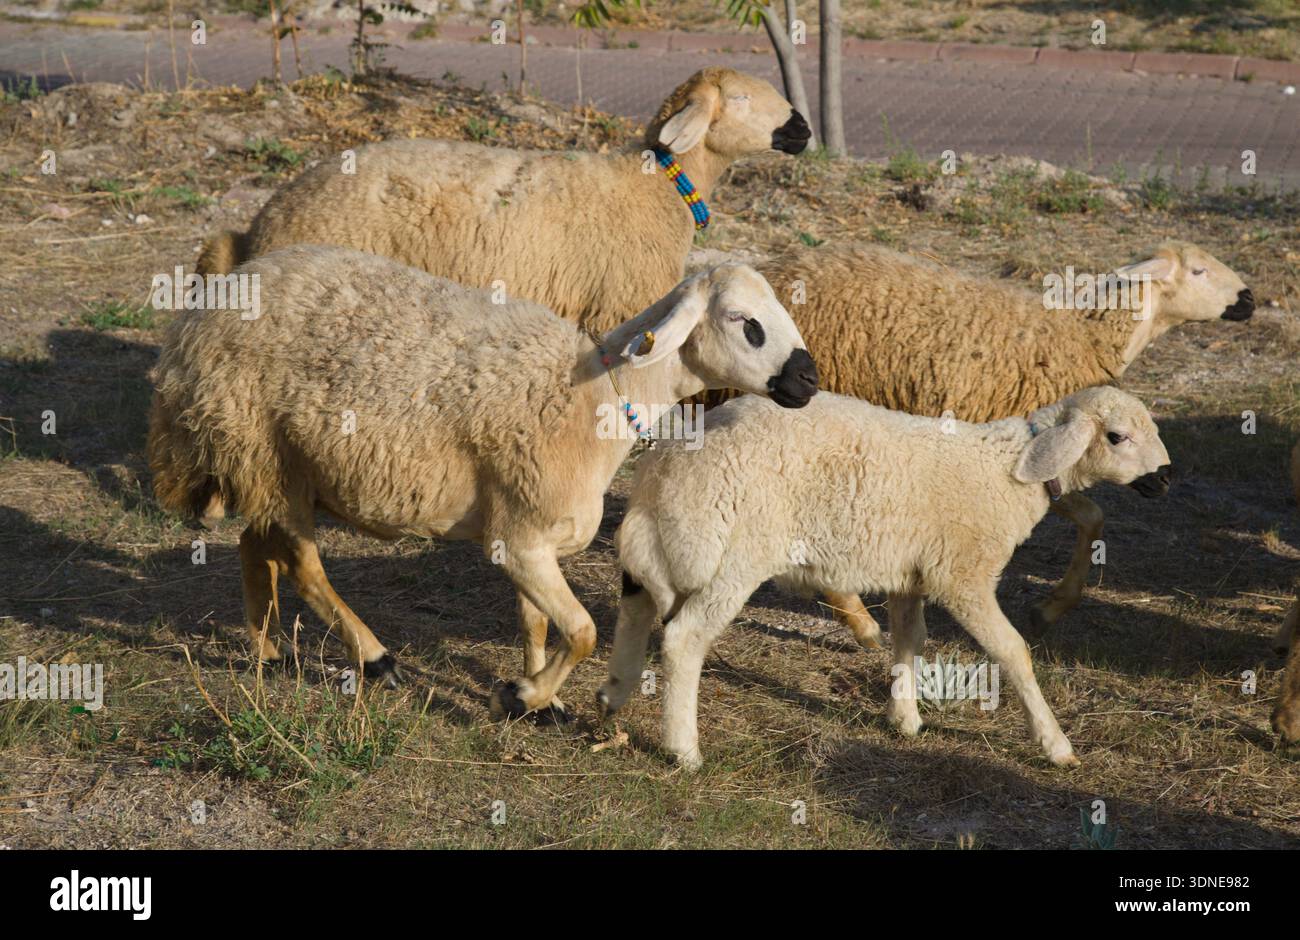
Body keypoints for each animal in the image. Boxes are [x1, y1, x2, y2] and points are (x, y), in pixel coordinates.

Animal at [148, 246, 819, 718]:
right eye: (744, 322)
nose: (808, 380)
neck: (600, 397)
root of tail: (193, 329)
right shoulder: (518, 539)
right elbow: (582, 631)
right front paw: (518, 697)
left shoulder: (528, 533)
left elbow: (539, 623)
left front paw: (541, 698)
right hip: (262, 445)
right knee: (302, 563)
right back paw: (374, 659)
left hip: (273, 465)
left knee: (256, 546)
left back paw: (267, 651)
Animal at [598, 386, 1171, 770]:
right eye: (1118, 437)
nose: (1165, 478)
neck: (1009, 469)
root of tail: (661, 478)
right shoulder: (960, 574)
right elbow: (1012, 651)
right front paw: (1056, 745)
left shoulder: (909, 574)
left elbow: (910, 639)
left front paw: (905, 718)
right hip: (732, 559)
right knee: (683, 639)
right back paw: (683, 749)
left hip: (664, 554)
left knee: (634, 606)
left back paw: (614, 693)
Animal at [754, 240, 1252, 643]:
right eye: (1198, 271)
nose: (1249, 298)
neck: (1086, 334)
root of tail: (770, 267)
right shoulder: (1037, 460)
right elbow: (1092, 516)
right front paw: (1048, 610)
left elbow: (1093, 518)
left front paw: (1048, 610)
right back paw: (861, 623)